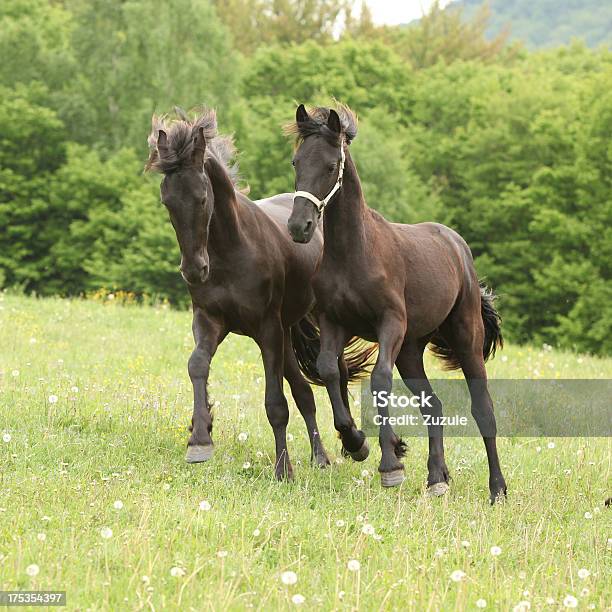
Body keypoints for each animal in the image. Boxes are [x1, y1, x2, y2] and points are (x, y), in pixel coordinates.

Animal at [146, 111, 372, 482]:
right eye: (167, 201)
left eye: (202, 198)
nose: (194, 270)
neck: (230, 251)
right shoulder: (209, 320)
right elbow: (197, 365)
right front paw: (199, 439)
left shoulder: (266, 330)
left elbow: (275, 404)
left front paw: (283, 471)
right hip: (287, 331)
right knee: (305, 392)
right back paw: (321, 457)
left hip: (297, 327)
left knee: (331, 374)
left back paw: (353, 444)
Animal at [286, 104, 506, 502]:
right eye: (296, 161)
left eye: (330, 164)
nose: (300, 227)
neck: (353, 253)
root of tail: (456, 245)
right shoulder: (333, 321)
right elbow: (329, 369)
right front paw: (356, 443)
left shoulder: (391, 323)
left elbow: (379, 378)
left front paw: (391, 465)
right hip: (411, 350)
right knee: (433, 404)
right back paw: (436, 478)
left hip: (465, 339)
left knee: (483, 409)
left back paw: (497, 489)